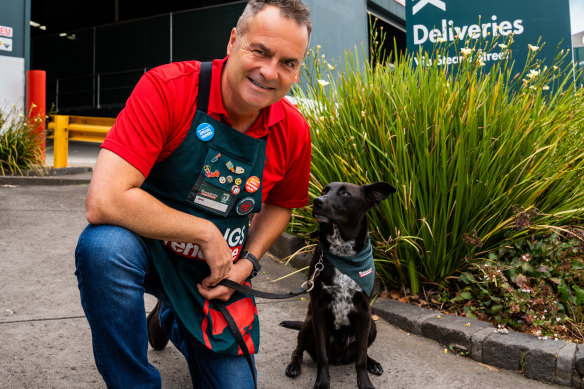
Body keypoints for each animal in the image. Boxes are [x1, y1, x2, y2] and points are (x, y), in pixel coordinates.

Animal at [280, 182, 396, 388]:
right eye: (324, 190)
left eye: (345, 193)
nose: (317, 201)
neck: (343, 253)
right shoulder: (318, 309)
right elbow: (323, 356)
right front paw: (322, 382)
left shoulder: (365, 311)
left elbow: (361, 358)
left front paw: (365, 382)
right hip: (308, 325)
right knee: (298, 350)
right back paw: (294, 366)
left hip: (372, 326)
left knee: (361, 353)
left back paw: (373, 363)